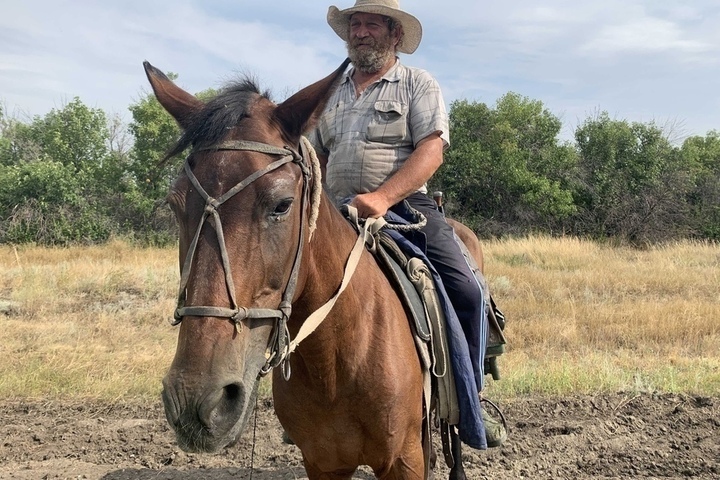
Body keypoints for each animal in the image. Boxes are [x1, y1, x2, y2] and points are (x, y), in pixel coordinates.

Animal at [145, 58, 484, 478]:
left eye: (282, 204)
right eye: (176, 205)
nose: (197, 400)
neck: (336, 360)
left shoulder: (403, 460)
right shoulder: (323, 462)